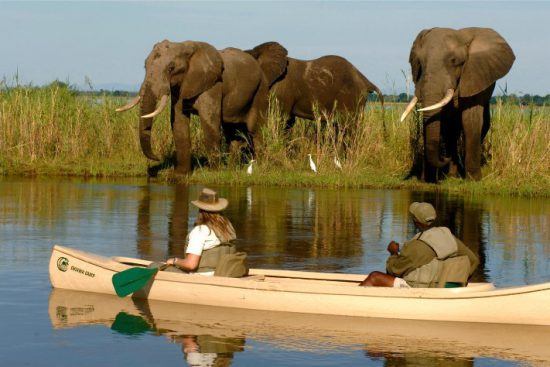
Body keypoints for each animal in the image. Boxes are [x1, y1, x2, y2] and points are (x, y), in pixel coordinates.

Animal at [117, 40, 274, 175]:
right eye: (145, 66)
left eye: (171, 68)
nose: (157, 158)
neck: (185, 47)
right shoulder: (180, 87)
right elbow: (179, 124)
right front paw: (180, 174)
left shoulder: (212, 85)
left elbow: (209, 124)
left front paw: (214, 173)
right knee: (232, 130)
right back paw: (231, 169)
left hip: (261, 89)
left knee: (256, 129)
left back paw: (259, 167)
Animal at [248, 41, 386, 128]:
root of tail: (365, 79)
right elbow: (289, 121)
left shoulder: (283, 89)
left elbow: (282, 118)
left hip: (352, 97)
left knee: (348, 125)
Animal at [402, 27, 516, 183]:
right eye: (420, 62)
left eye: (454, 61)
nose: (444, 158)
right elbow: (443, 123)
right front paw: (428, 179)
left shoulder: (473, 76)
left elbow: (470, 120)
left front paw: (474, 180)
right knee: (451, 130)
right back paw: (452, 174)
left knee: (483, 125)